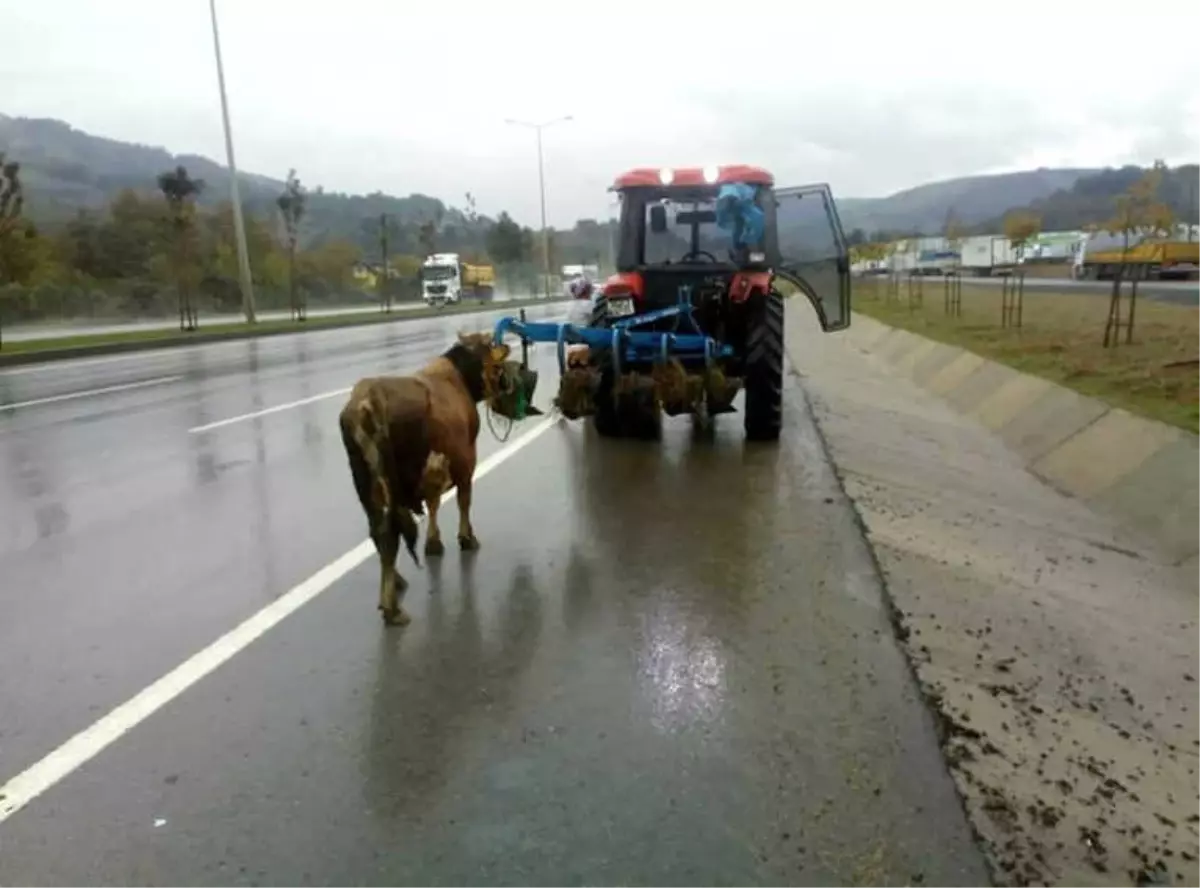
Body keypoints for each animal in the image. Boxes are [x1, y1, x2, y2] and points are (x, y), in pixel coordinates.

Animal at [340, 328, 523, 628]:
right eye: (495, 361)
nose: (506, 384)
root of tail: (367, 399)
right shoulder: (464, 460)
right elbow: (462, 500)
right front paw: (466, 538)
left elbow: (434, 503)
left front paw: (434, 542)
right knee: (390, 533)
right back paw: (392, 609)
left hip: (365, 486)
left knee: (378, 531)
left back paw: (395, 584)